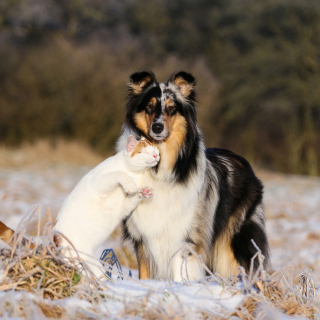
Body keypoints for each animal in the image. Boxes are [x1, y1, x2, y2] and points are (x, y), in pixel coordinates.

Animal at [53, 135, 161, 278]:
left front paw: (144, 192)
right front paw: (130, 185)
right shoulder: (100, 182)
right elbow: (118, 174)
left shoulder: (123, 208)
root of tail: (54, 241)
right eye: (145, 152)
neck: (135, 174)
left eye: (156, 150)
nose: (156, 155)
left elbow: (133, 198)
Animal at [116, 70, 268, 280]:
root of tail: (243, 161)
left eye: (172, 108)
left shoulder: (185, 238)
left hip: (232, 245)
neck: (161, 166)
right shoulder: (143, 239)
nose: (157, 128)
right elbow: (144, 274)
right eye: (149, 106)